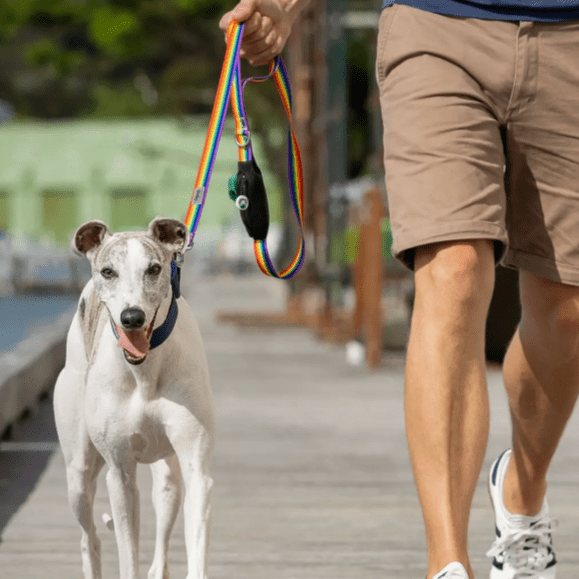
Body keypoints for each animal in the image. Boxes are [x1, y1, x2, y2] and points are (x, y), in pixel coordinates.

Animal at [54, 218, 216, 579]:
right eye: (109, 271)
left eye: (154, 268)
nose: (132, 317)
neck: (144, 371)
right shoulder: (121, 474)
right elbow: (127, 556)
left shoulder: (196, 467)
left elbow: (197, 546)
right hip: (78, 476)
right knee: (90, 538)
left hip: (167, 475)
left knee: (165, 504)